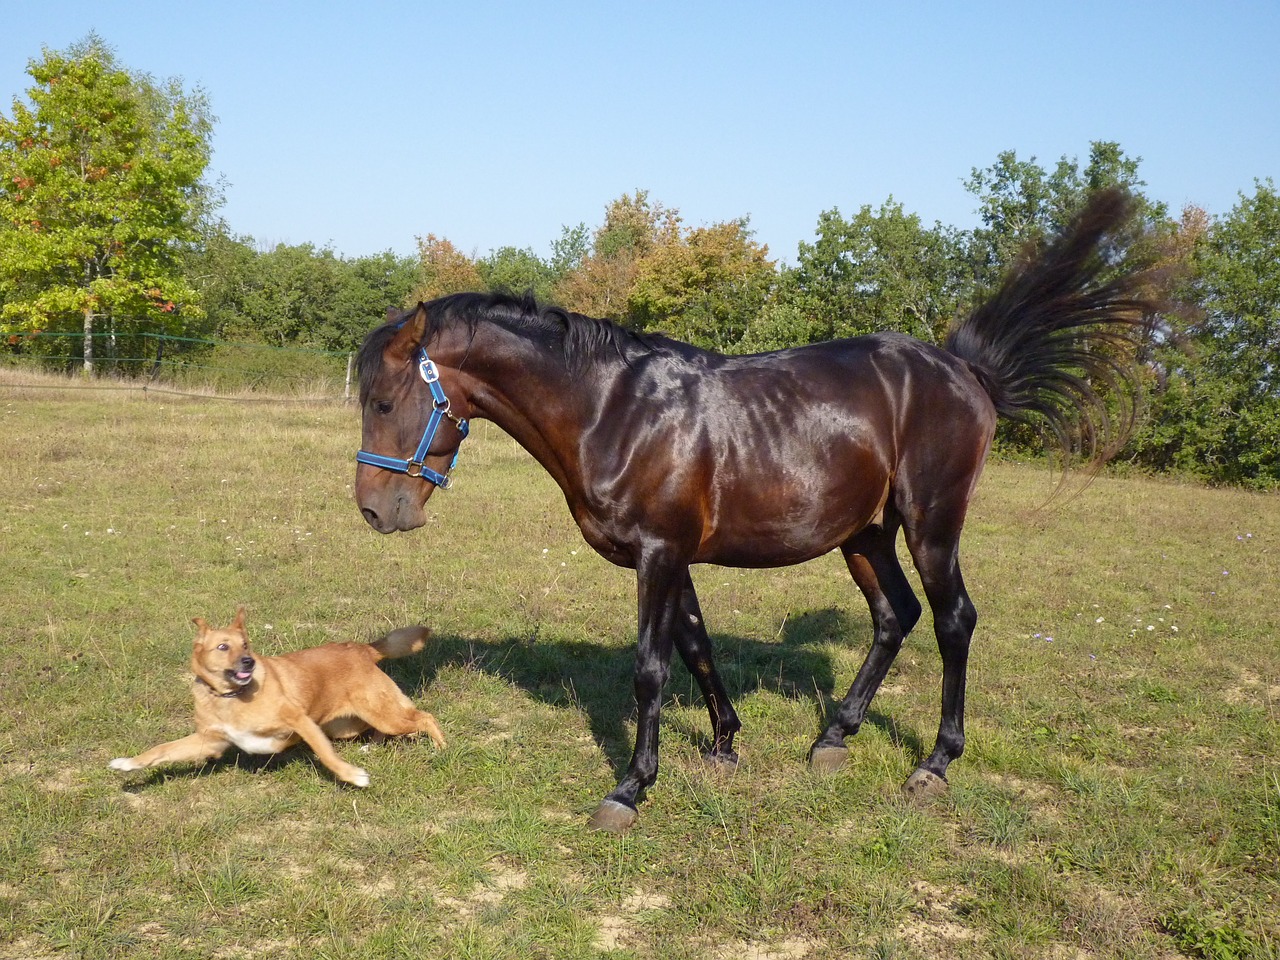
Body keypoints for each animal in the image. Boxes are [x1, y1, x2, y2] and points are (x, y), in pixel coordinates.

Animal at [111, 609, 450, 788]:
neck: (231, 697)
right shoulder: (209, 742)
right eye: (223, 647)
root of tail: (362, 649)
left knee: (425, 717)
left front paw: (352, 776)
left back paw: (441, 749)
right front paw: (127, 763)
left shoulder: (300, 721)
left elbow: (326, 756)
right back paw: (373, 745)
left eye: (246, 644)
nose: (249, 662)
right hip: (349, 724)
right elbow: (161, 750)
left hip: (381, 713)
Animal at [350, 189, 1152, 834]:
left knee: (953, 621)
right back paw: (834, 737)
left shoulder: (659, 554)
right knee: (894, 616)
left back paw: (934, 763)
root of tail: (965, 371)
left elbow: (651, 668)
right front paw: (725, 745)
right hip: (865, 535)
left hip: (932, 524)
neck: (614, 409)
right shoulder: (671, 557)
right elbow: (696, 647)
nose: (373, 511)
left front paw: (631, 788)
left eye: (384, 402)